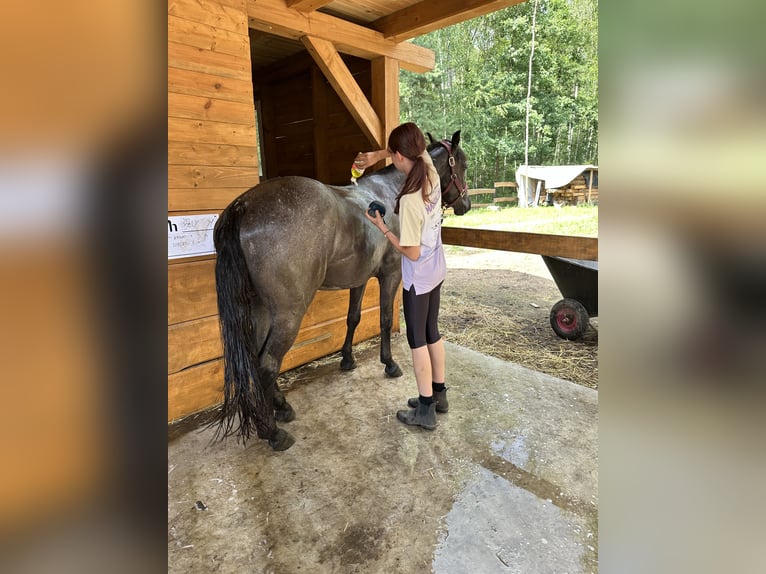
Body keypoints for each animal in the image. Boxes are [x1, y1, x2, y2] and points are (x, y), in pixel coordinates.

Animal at [213, 129, 472, 450]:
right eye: (463, 165)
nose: (466, 205)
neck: (394, 190)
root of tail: (244, 206)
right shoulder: (391, 275)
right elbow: (385, 319)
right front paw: (389, 364)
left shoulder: (358, 279)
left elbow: (353, 318)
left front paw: (347, 359)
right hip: (288, 314)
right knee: (267, 365)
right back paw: (272, 431)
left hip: (259, 309)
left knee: (256, 358)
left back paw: (280, 407)